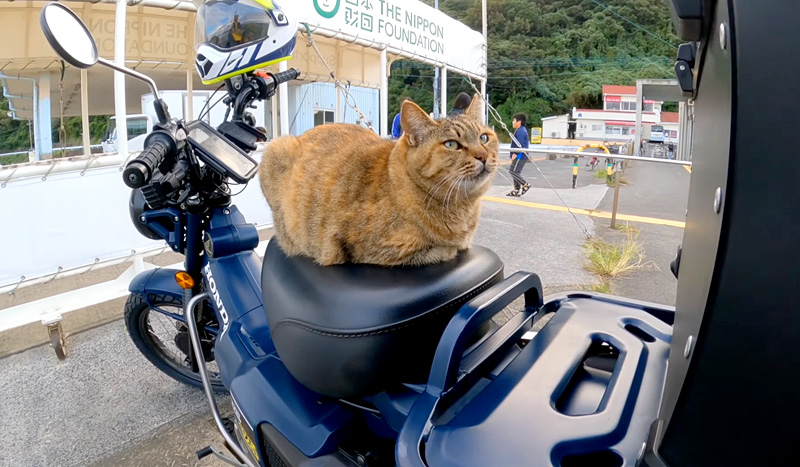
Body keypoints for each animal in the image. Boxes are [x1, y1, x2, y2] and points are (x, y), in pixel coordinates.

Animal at [260, 95, 496, 266]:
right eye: (452, 144)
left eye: (484, 137)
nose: (483, 156)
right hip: (275, 149)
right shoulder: (370, 250)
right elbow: (445, 249)